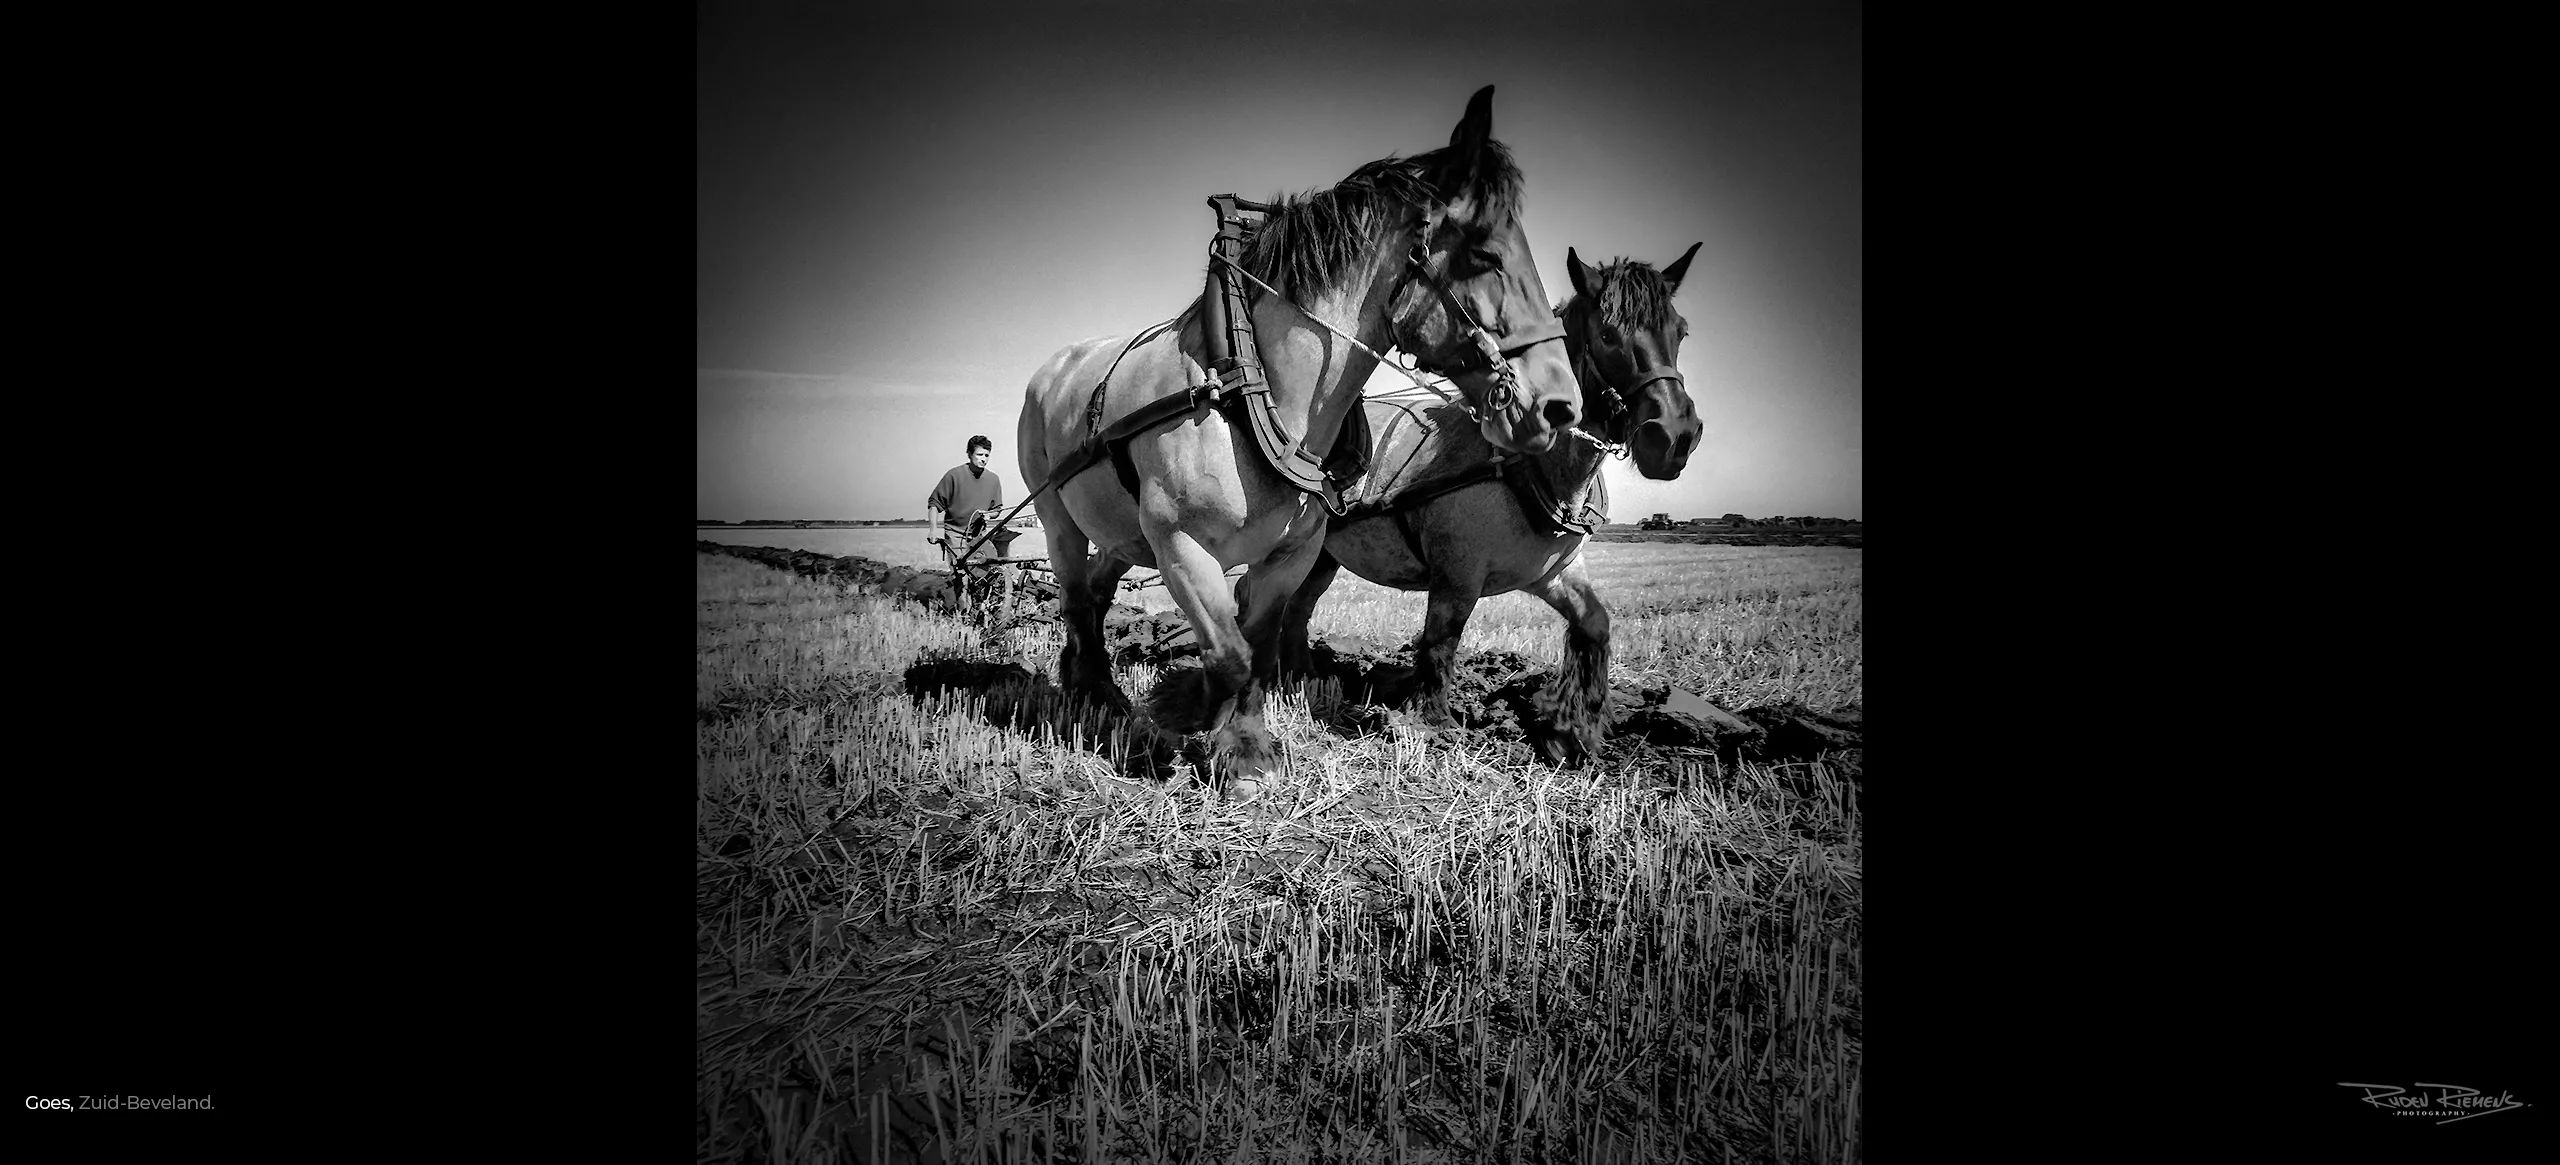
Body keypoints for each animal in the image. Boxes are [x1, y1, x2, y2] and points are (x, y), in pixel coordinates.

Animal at [1013, 86, 1576, 788]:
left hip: (1121, 532)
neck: (1248, 389)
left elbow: (1255, 647)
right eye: (1485, 253)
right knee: (1072, 593)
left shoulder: (1293, 553)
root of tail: (1053, 368)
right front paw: (1196, 719)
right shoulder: (1178, 545)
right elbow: (1228, 653)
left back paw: (1087, 680)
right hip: (1056, 515)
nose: (1558, 405)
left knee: (1095, 588)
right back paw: (1095, 689)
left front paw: (1244, 744)